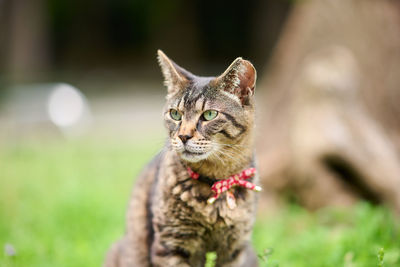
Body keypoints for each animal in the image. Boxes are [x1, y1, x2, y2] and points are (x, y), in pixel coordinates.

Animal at [106, 50, 260, 267]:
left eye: (209, 114)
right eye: (175, 114)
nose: (183, 136)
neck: (215, 180)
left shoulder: (234, 249)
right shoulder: (170, 244)